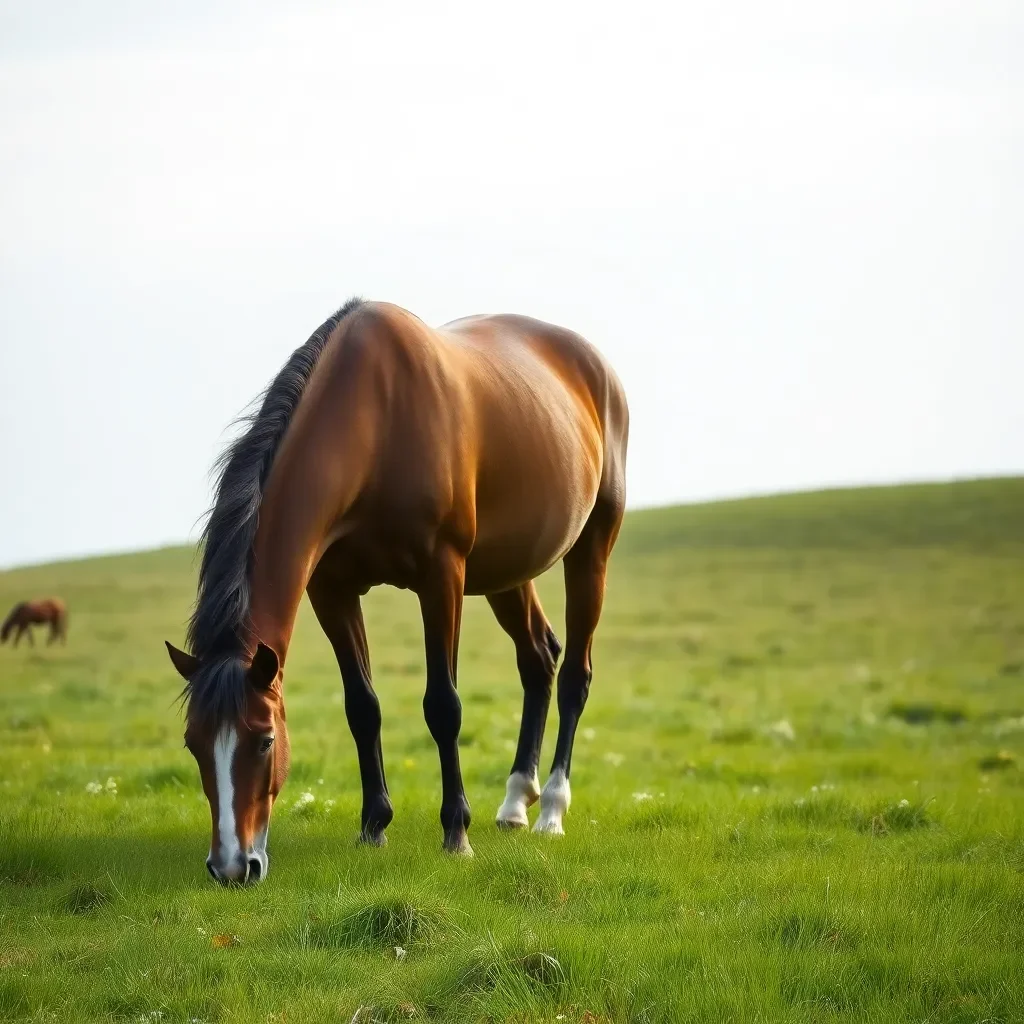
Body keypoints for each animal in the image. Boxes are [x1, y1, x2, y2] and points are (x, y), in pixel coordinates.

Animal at [164, 299, 626, 884]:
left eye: (265, 738)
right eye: (193, 743)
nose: (230, 866)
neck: (375, 423)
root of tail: (595, 365)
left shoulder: (442, 577)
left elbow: (443, 706)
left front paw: (456, 832)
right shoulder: (332, 590)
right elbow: (362, 707)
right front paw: (373, 826)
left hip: (592, 547)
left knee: (574, 677)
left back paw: (551, 811)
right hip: (507, 570)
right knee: (539, 658)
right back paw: (515, 802)